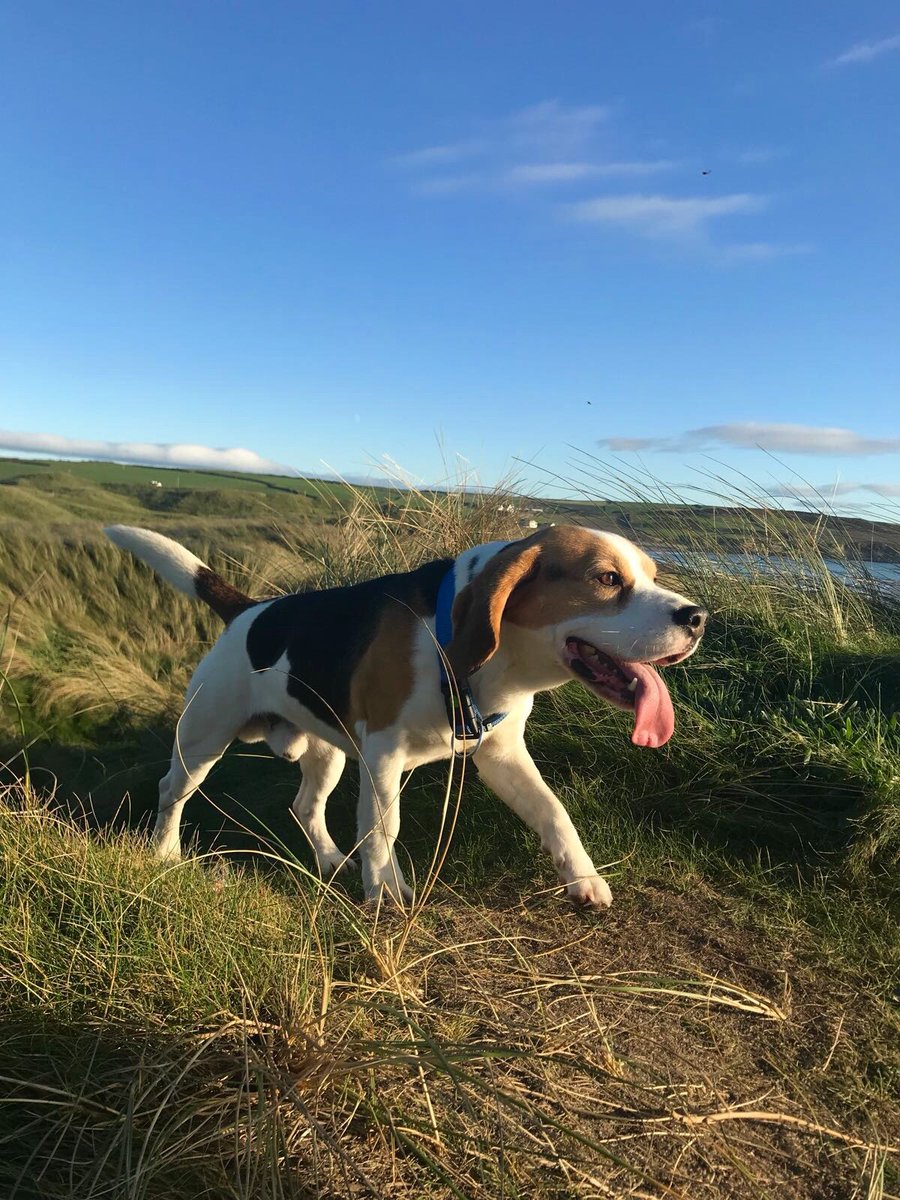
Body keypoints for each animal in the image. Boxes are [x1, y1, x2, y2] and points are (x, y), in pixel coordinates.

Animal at [105, 525, 710, 907]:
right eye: (607, 579)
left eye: (653, 574)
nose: (698, 617)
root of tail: (249, 611)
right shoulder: (384, 753)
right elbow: (384, 827)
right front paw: (386, 891)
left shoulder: (501, 754)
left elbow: (553, 811)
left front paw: (582, 878)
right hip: (203, 737)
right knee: (171, 791)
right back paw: (164, 854)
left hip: (327, 751)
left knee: (305, 807)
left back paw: (330, 859)